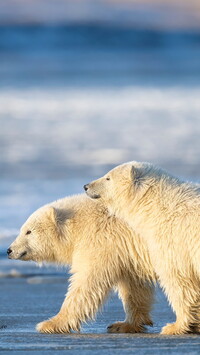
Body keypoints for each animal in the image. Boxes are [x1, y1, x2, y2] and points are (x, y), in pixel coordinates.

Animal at [7, 193, 155, 336]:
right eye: (21, 230)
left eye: (28, 231)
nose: (9, 250)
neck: (78, 225)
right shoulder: (127, 255)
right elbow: (134, 287)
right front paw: (124, 325)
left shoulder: (101, 240)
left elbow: (87, 283)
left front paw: (50, 324)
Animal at [84, 163, 200, 336]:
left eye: (108, 177)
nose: (86, 186)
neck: (158, 205)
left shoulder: (174, 239)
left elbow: (179, 280)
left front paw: (174, 326)